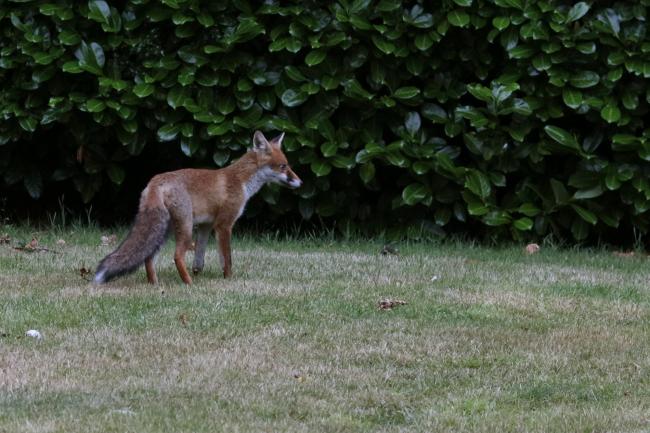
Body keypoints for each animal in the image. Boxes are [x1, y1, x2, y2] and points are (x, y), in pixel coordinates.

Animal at [94, 130, 302, 285]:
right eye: (283, 166)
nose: (300, 182)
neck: (241, 182)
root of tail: (156, 180)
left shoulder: (205, 226)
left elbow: (199, 257)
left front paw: (198, 273)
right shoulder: (224, 225)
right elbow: (227, 259)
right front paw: (228, 280)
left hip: (165, 230)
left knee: (148, 257)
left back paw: (155, 284)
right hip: (185, 229)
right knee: (177, 256)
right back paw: (188, 283)